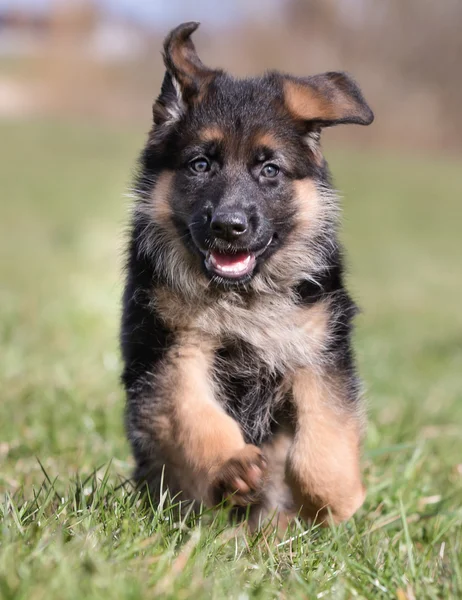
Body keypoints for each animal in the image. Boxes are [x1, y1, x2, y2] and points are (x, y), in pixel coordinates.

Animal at [121, 21, 374, 528]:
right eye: (201, 164)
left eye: (270, 169)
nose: (228, 226)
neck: (242, 298)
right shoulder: (173, 349)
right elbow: (195, 415)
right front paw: (233, 467)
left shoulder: (318, 351)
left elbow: (323, 438)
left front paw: (337, 498)